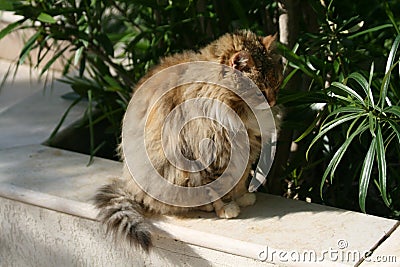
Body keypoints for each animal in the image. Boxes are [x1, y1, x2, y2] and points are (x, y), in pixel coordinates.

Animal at [94, 30, 282, 252]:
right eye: (260, 91)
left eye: (277, 85)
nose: (273, 101)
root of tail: (131, 186)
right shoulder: (210, 152)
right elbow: (217, 188)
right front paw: (226, 208)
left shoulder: (245, 149)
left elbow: (240, 180)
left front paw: (243, 197)